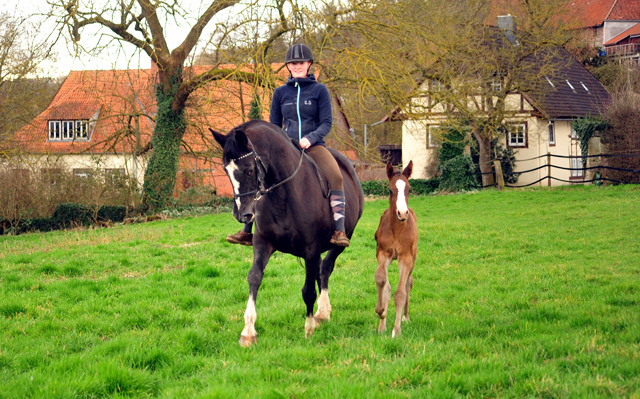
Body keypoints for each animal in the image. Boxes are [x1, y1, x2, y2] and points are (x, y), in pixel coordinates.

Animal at [209, 120, 362, 348]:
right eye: (225, 171)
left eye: (249, 170)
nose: (241, 214)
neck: (283, 195)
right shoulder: (263, 244)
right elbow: (254, 277)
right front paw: (248, 332)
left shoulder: (311, 250)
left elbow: (308, 290)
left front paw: (309, 328)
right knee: (321, 272)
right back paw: (321, 312)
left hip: (342, 239)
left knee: (326, 268)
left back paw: (322, 312)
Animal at [372, 161, 418, 340]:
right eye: (391, 190)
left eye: (409, 189)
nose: (402, 213)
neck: (397, 230)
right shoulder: (383, 254)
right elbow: (381, 281)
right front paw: (381, 312)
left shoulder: (405, 258)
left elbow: (400, 293)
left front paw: (396, 331)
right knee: (388, 285)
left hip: (413, 258)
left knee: (408, 283)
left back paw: (405, 317)